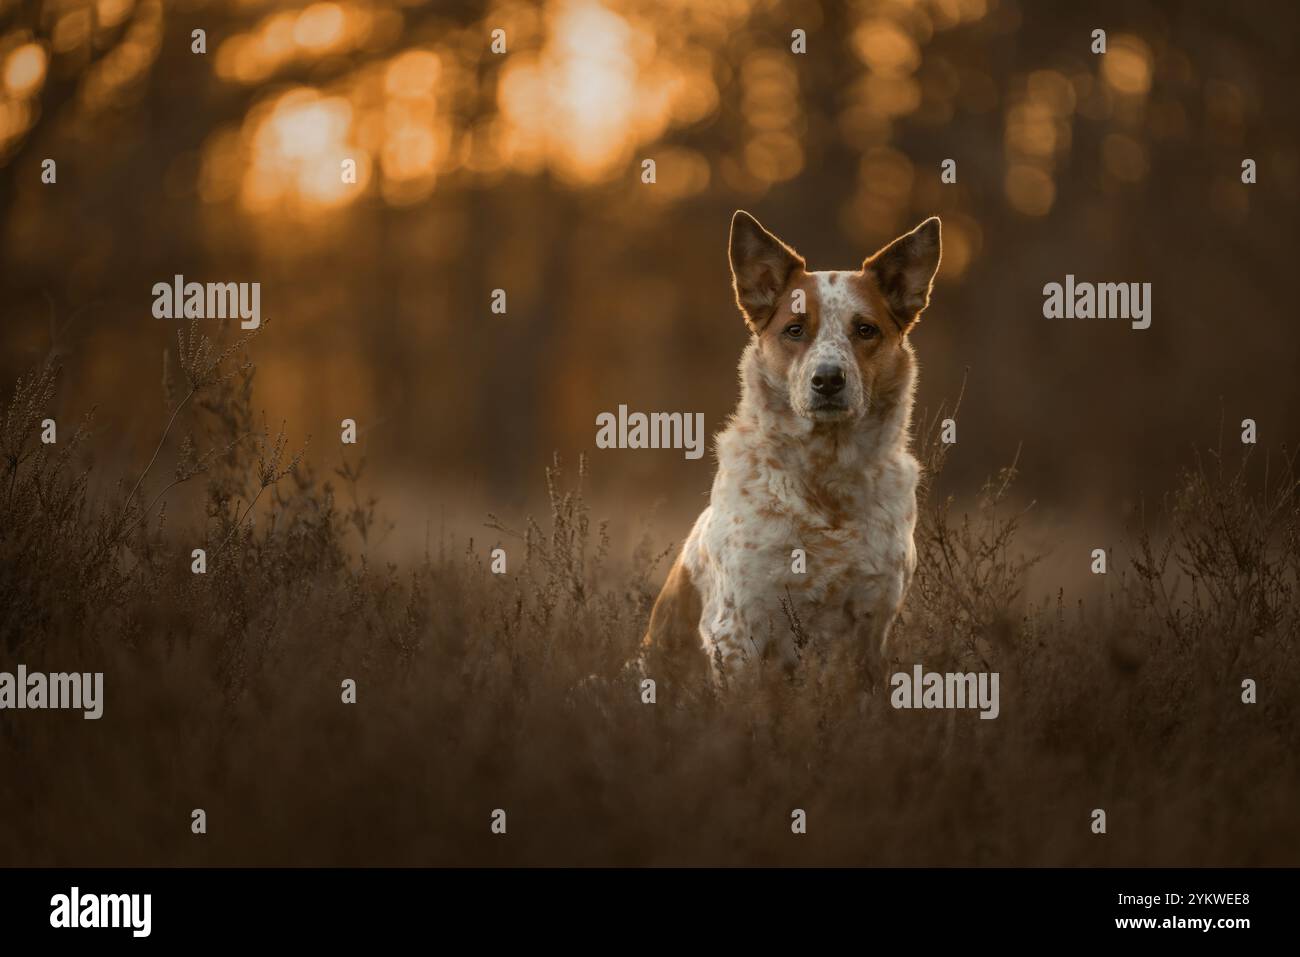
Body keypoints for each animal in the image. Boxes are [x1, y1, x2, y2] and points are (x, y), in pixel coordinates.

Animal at [642, 211, 941, 686]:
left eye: (865, 330)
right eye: (794, 330)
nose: (828, 379)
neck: (825, 478)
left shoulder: (871, 629)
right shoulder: (737, 630)